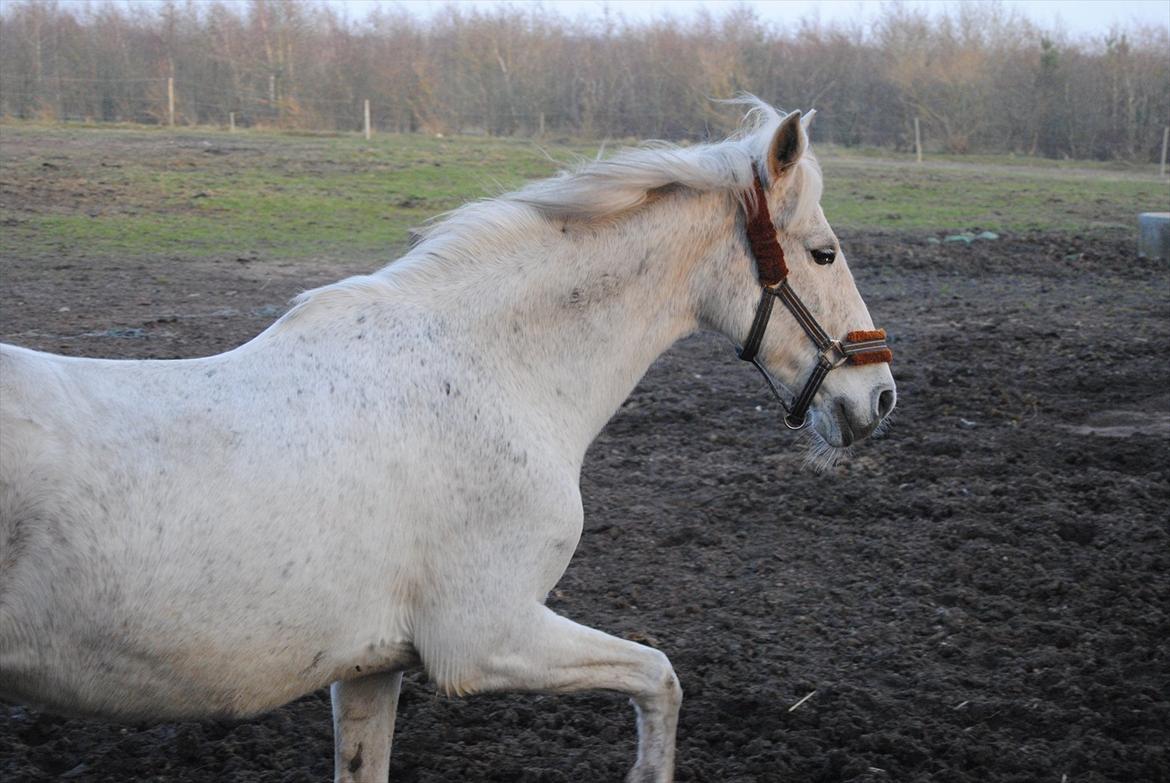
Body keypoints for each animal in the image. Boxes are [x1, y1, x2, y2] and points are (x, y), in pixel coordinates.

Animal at [2, 103, 893, 781]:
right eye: (823, 252)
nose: (879, 396)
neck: (488, 372)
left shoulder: (370, 670)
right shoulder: (485, 639)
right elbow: (660, 677)